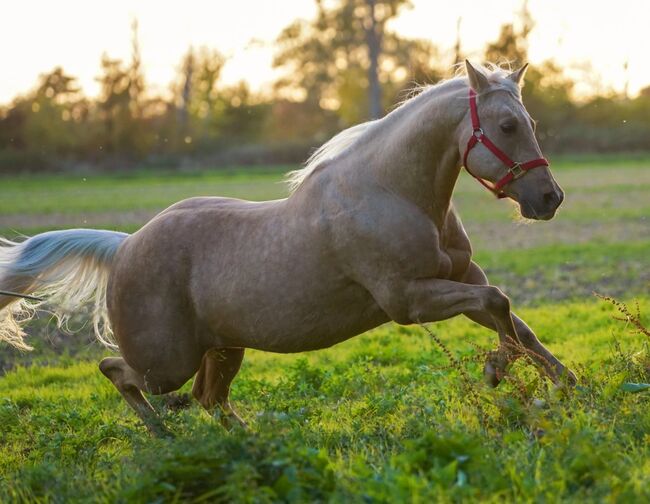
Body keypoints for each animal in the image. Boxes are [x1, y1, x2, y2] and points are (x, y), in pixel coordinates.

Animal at [0, 62, 576, 434]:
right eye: (507, 125)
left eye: (530, 123)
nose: (550, 198)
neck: (394, 192)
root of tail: (123, 248)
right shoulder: (408, 300)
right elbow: (500, 305)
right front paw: (497, 372)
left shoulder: (462, 278)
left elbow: (511, 317)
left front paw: (568, 386)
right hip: (167, 362)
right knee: (119, 373)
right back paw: (164, 438)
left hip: (222, 348)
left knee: (210, 400)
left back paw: (248, 444)